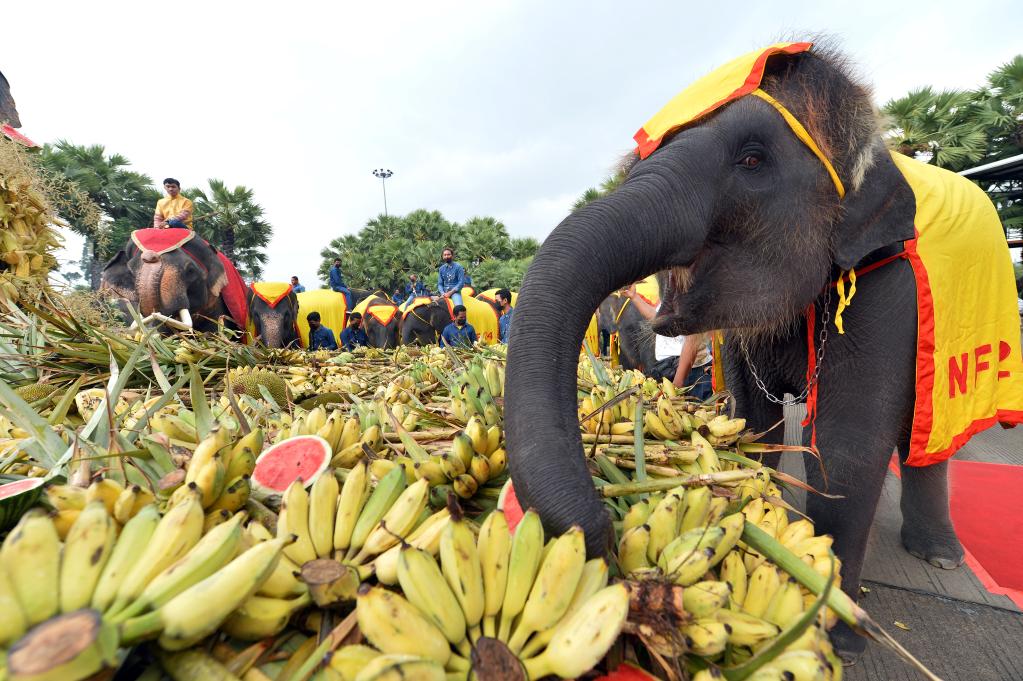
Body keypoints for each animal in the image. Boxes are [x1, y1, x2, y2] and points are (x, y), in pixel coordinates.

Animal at [505, 41, 1023, 654]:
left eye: (752, 160)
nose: (601, 534)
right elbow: (754, 420)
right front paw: (758, 501)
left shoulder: (885, 280)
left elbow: (848, 445)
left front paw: (836, 635)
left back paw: (940, 557)